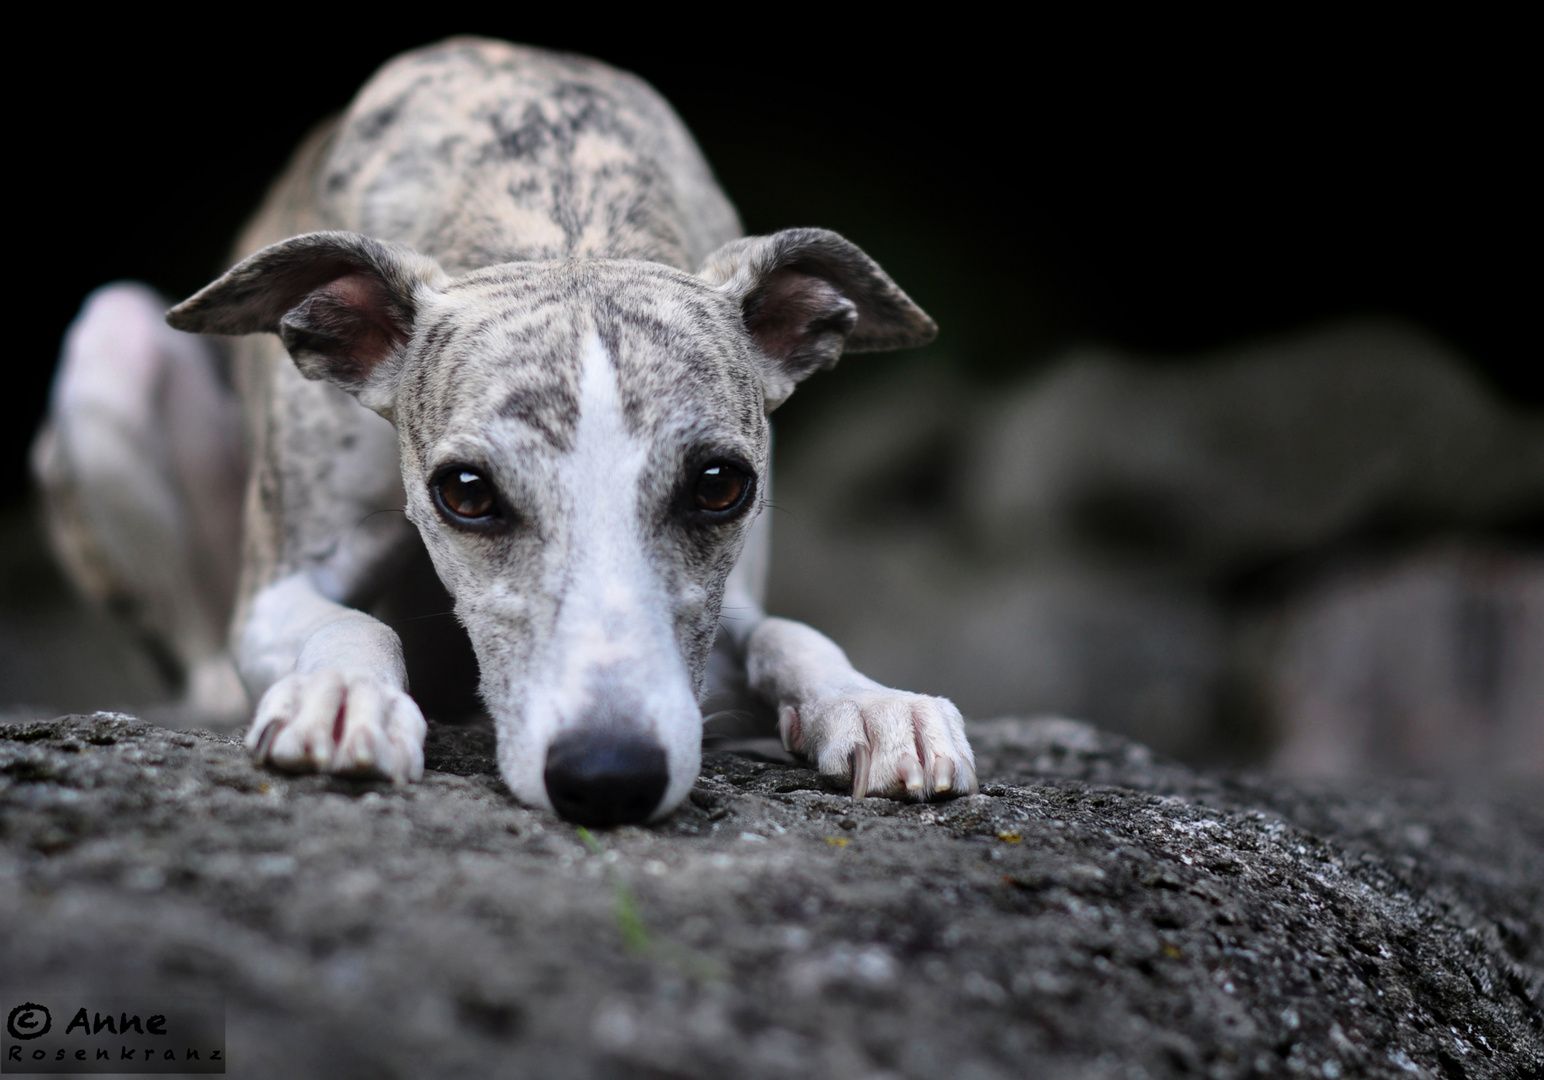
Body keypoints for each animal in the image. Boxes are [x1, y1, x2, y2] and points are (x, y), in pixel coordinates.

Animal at [33, 35, 975, 828]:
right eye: (466, 492)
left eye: (720, 484)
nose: (610, 778)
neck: (561, 208)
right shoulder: (275, 589)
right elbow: (352, 623)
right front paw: (340, 696)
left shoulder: (722, 599)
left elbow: (786, 630)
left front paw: (872, 703)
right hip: (112, 344)